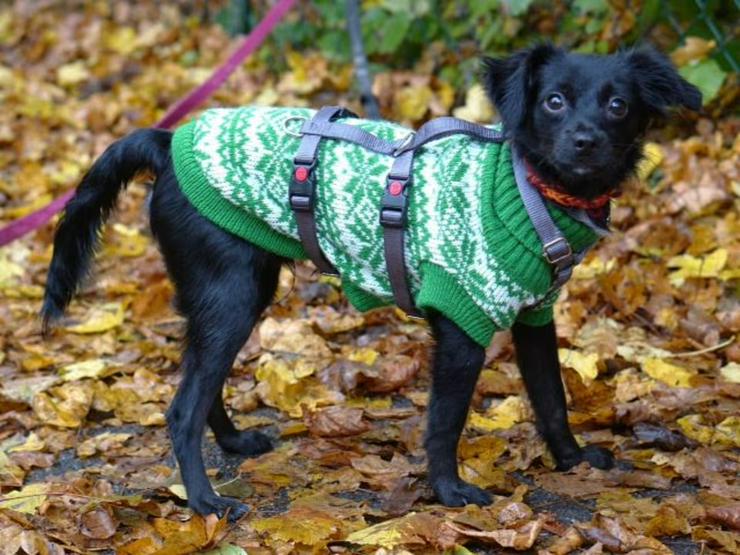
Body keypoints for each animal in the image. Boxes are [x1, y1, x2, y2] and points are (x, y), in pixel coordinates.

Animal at [40, 44, 700, 520]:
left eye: (618, 106)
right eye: (555, 101)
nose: (585, 140)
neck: (525, 190)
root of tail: (164, 141)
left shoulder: (535, 317)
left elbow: (552, 401)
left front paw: (572, 461)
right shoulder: (462, 324)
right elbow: (445, 422)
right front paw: (450, 493)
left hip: (231, 296)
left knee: (203, 386)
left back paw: (233, 445)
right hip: (232, 295)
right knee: (182, 408)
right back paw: (205, 502)